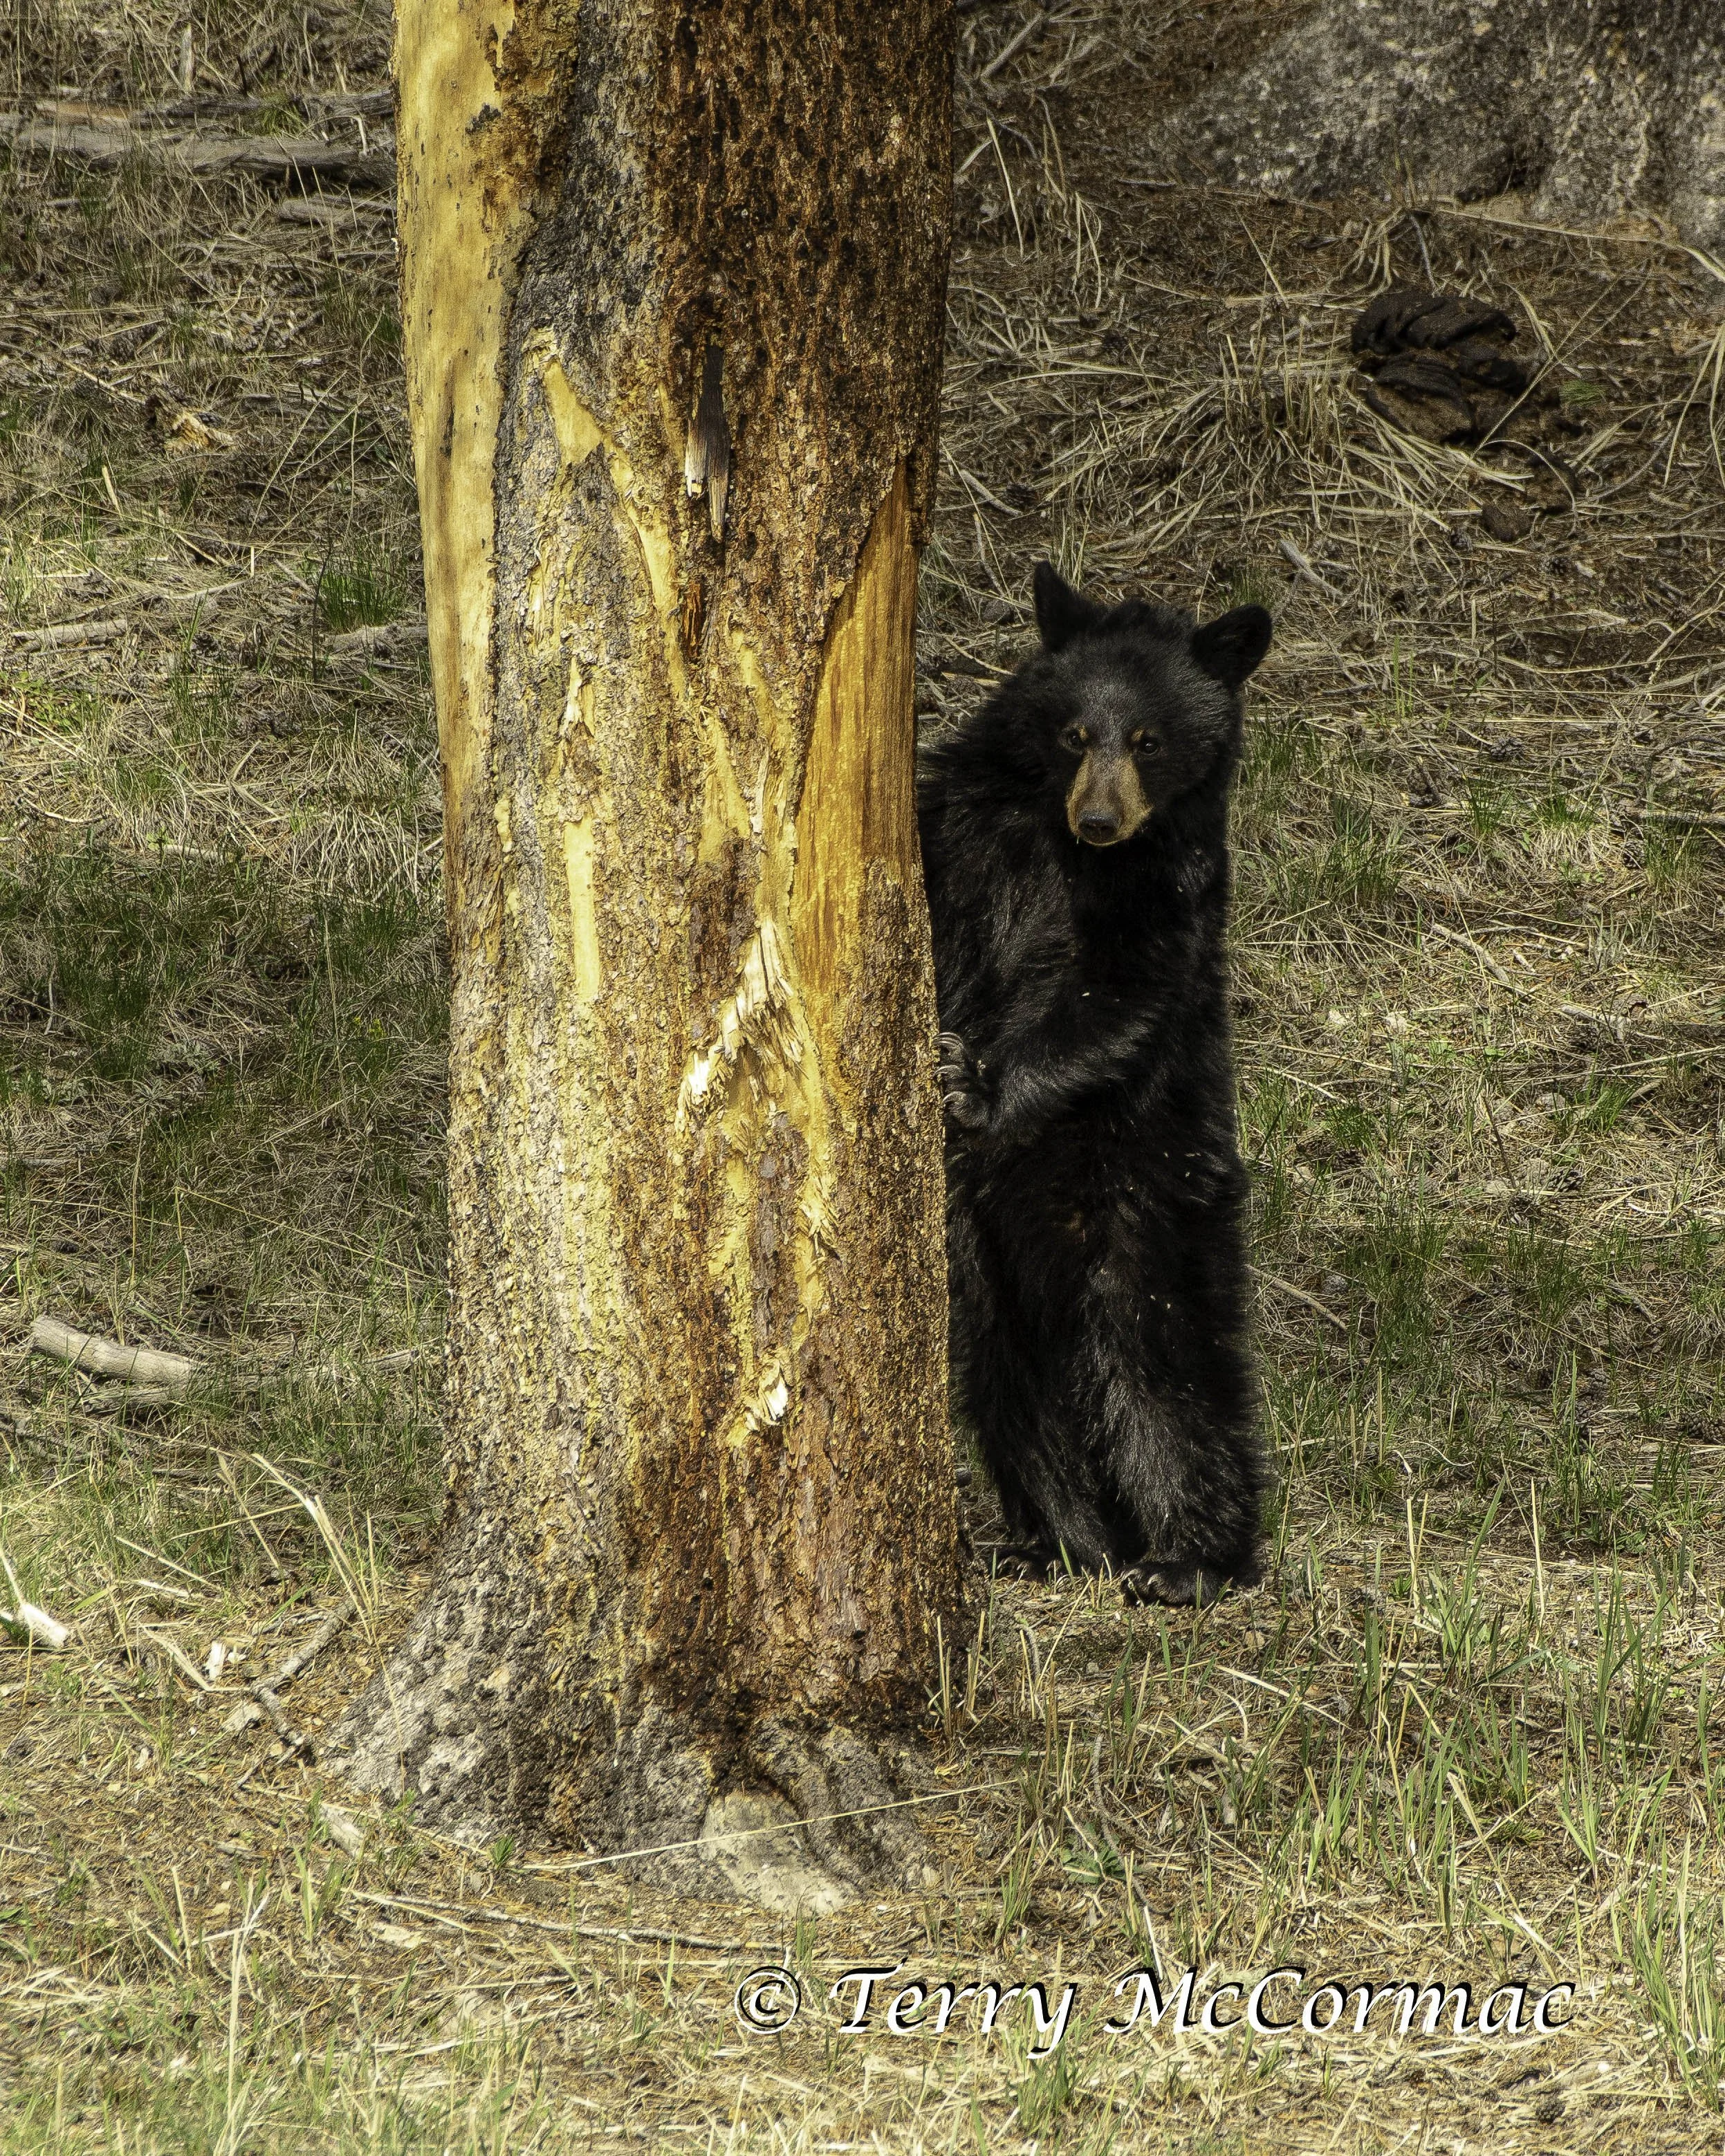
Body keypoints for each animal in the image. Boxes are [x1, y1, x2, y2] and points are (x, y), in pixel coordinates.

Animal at [917, 561, 1271, 1607]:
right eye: (1076, 733)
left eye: (1149, 739)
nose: (1102, 819)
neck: (1058, 845)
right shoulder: (964, 822)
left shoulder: (1169, 891)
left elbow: (1114, 997)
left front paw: (970, 1081)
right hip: (975, 1249)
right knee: (1009, 1374)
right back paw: (1058, 1541)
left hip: (1151, 1200)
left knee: (1165, 1368)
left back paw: (1189, 1558)